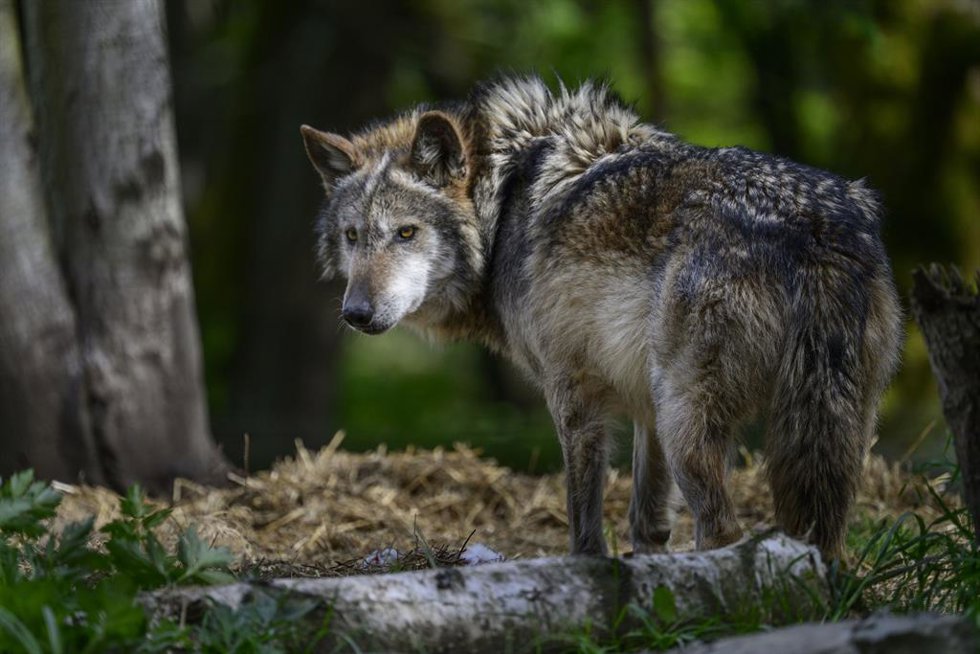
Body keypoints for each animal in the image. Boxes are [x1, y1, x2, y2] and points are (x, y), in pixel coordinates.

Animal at [300, 75, 902, 558]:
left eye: (406, 233)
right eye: (353, 236)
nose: (356, 313)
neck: (503, 199)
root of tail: (813, 228)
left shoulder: (573, 395)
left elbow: (584, 524)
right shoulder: (643, 406)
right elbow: (645, 524)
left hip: (689, 422)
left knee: (723, 528)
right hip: (825, 431)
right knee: (824, 534)